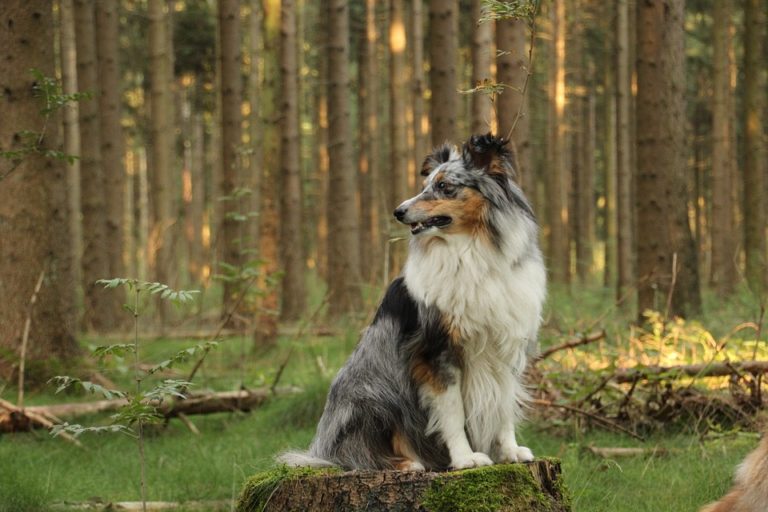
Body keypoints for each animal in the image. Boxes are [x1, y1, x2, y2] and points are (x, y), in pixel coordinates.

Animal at [280, 134, 544, 470]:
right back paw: (407, 463)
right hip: (375, 396)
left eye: (445, 186)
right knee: (357, 454)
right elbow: (452, 412)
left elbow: (503, 406)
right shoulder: (435, 350)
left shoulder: (507, 344)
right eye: (425, 184)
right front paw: (465, 458)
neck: (473, 250)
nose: (399, 211)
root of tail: (321, 449)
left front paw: (510, 451)